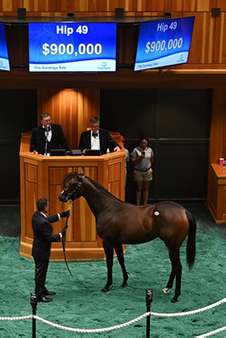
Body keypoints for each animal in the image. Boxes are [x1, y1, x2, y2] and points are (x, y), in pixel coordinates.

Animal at [58, 170, 196, 302]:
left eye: (73, 184)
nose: (61, 197)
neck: (108, 209)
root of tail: (183, 211)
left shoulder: (107, 241)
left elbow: (109, 262)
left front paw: (107, 285)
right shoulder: (117, 242)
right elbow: (120, 259)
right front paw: (124, 281)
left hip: (172, 246)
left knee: (178, 267)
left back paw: (175, 296)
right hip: (172, 247)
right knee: (174, 266)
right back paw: (167, 288)